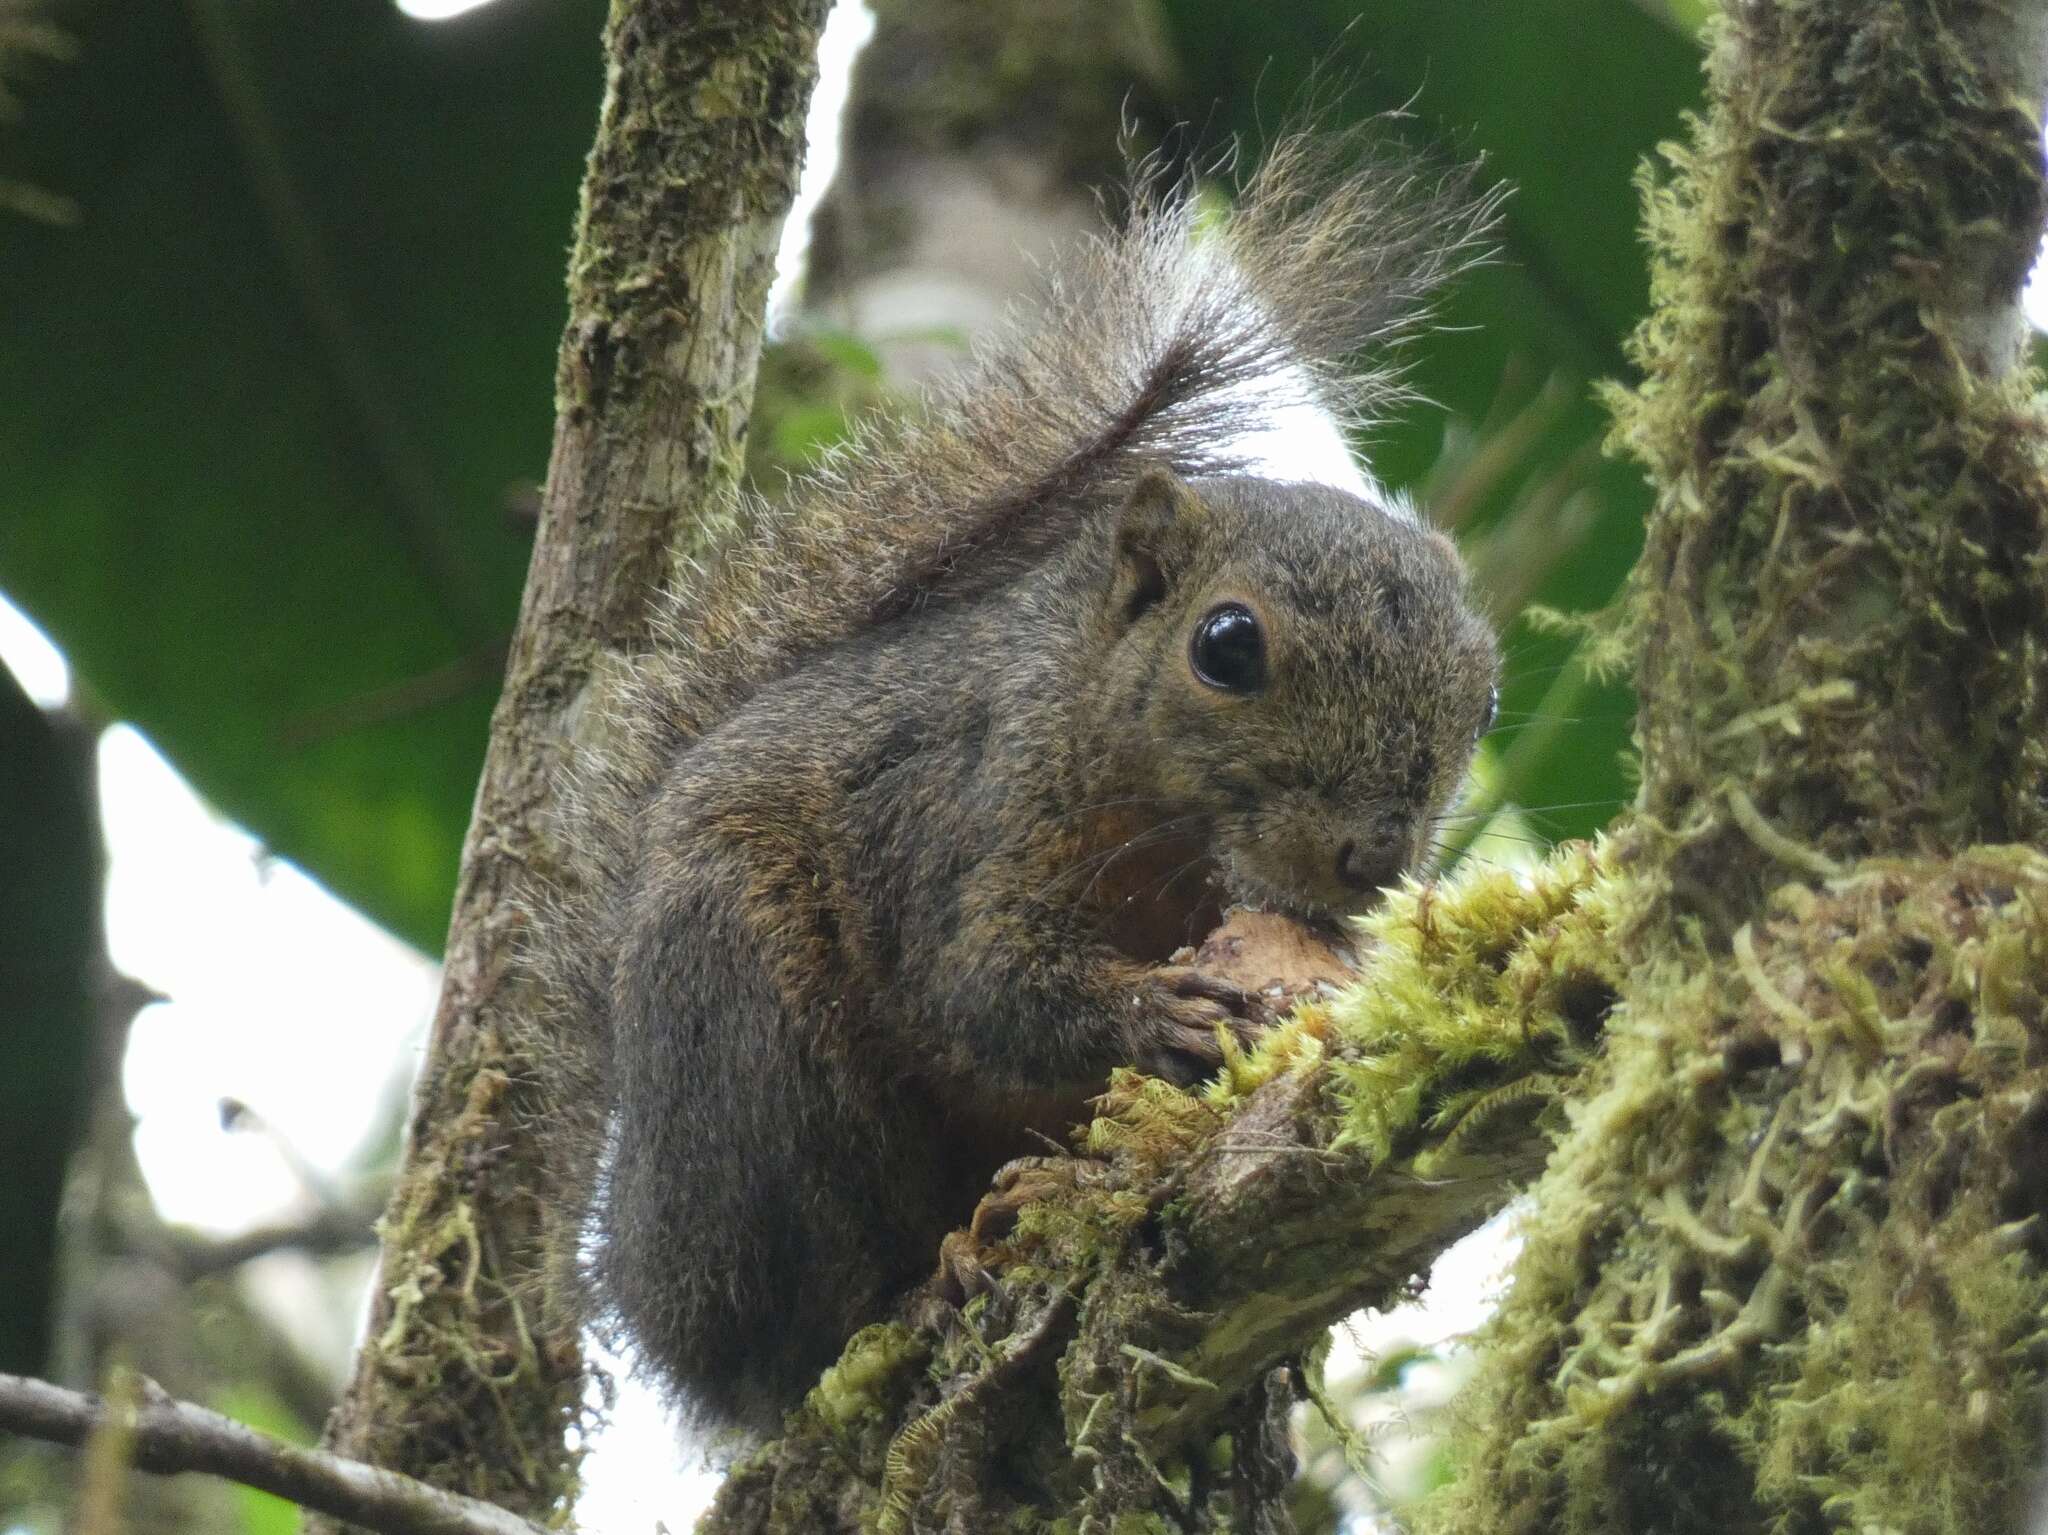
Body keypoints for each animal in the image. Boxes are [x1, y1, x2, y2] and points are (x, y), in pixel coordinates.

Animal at [536, 126, 1507, 1440]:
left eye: (1486, 698)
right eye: (1226, 646)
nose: (1373, 854)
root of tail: (647, 1283)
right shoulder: (956, 810)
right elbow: (974, 981)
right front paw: (1155, 1011)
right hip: (749, 1033)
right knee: (814, 1300)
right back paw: (921, 1277)